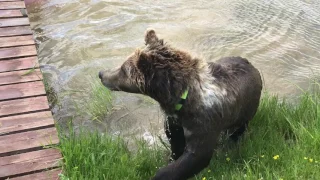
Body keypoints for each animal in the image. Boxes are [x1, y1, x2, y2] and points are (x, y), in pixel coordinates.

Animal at [98, 29, 262, 180]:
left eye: (123, 69)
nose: (101, 74)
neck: (182, 101)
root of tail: (250, 63)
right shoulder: (174, 120)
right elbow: (175, 143)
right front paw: (172, 156)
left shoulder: (204, 124)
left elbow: (196, 156)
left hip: (246, 110)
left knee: (239, 127)